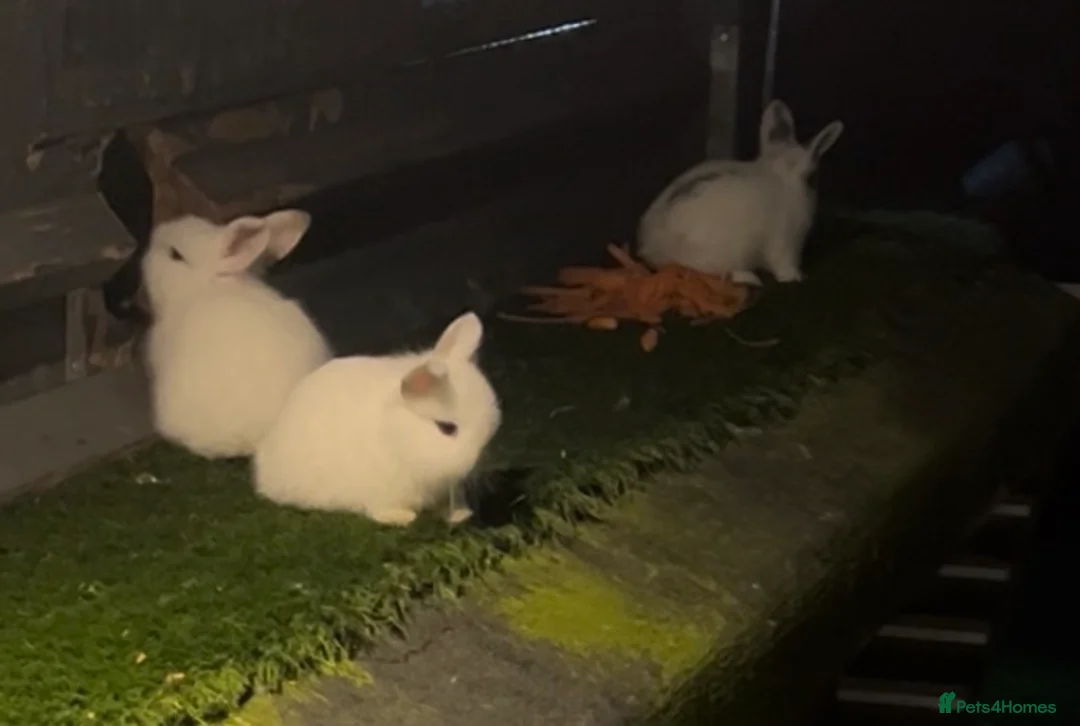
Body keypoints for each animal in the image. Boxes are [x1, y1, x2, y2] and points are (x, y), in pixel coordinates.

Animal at [252, 311, 501, 527]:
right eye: (447, 428)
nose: (476, 464)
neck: (397, 436)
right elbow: (379, 508)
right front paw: (402, 518)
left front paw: (460, 514)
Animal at [637, 99, 844, 285]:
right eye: (812, 178)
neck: (780, 175)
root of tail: (652, 245)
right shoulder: (785, 242)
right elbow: (783, 266)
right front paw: (796, 276)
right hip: (722, 254)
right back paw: (751, 279)